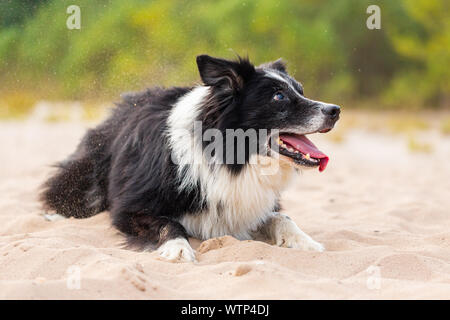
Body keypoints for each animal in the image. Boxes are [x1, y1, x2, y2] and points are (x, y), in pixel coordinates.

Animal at [40, 53, 342, 262]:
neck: (231, 158)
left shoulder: (249, 203)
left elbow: (282, 217)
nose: (335, 110)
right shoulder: (130, 208)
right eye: (279, 97)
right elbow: (168, 223)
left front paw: (305, 242)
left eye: (300, 91)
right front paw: (178, 249)